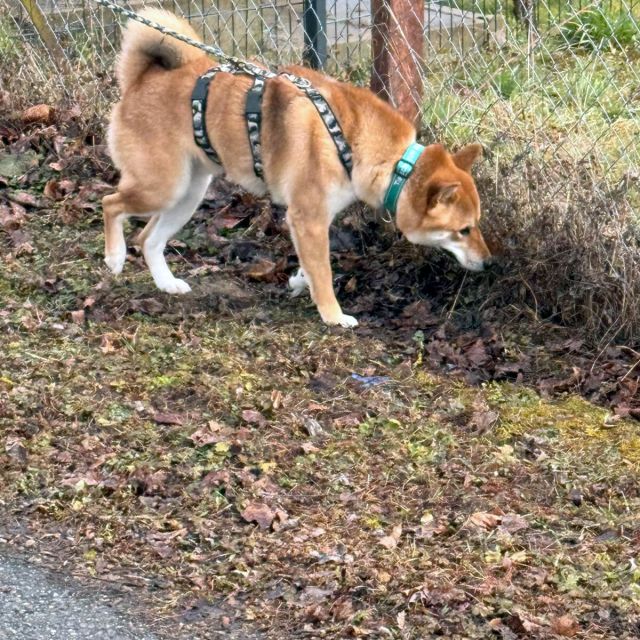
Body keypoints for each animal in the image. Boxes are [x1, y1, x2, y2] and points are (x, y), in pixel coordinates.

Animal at [104, 10, 490, 328]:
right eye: (464, 230)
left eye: (476, 225)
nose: (489, 263)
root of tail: (142, 78)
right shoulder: (308, 217)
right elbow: (324, 274)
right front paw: (334, 315)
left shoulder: (311, 223)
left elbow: (312, 265)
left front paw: (299, 280)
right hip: (162, 187)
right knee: (112, 204)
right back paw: (115, 256)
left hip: (187, 195)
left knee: (148, 239)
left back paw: (166, 283)